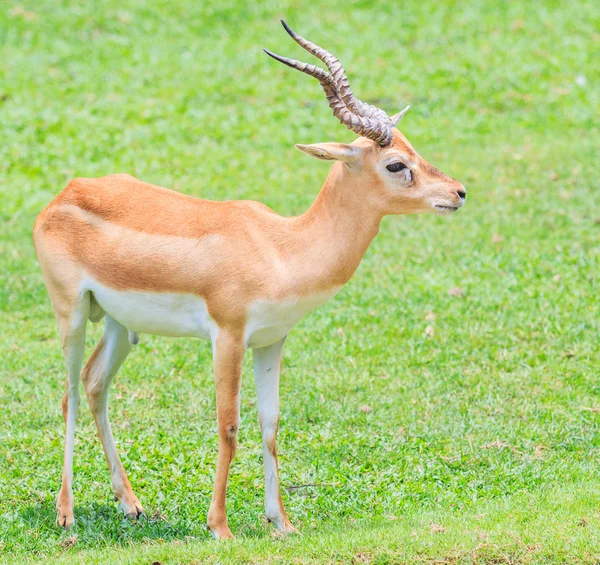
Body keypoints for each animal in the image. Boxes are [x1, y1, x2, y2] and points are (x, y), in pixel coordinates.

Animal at [31, 18, 464, 536]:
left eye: (414, 150)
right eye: (396, 164)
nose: (458, 193)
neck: (282, 247)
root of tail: (63, 194)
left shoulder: (272, 340)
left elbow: (270, 423)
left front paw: (282, 521)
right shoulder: (229, 336)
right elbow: (229, 425)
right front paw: (219, 526)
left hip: (119, 324)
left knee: (95, 385)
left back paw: (131, 505)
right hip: (71, 314)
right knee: (70, 395)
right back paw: (66, 513)